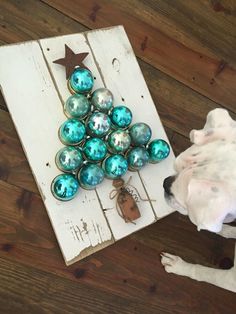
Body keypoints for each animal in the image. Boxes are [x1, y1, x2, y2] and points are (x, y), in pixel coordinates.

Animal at [161, 109, 236, 294]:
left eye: (183, 200)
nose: (165, 183)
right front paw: (224, 231)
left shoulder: (232, 279)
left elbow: (205, 273)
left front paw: (180, 267)